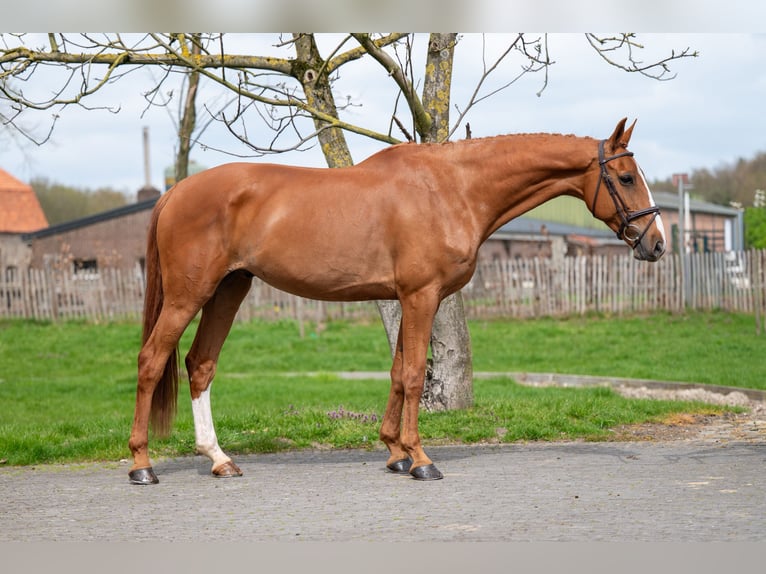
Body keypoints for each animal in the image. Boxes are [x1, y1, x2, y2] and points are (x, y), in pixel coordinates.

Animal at [128, 117, 666, 485]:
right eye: (624, 178)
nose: (656, 244)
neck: (451, 188)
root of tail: (175, 192)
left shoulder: (408, 298)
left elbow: (397, 371)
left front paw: (394, 453)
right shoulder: (421, 296)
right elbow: (412, 374)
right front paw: (421, 459)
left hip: (229, 288)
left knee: (200, 364)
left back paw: (219, 459)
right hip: (189, 294)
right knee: (153, 360)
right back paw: (142, 464)